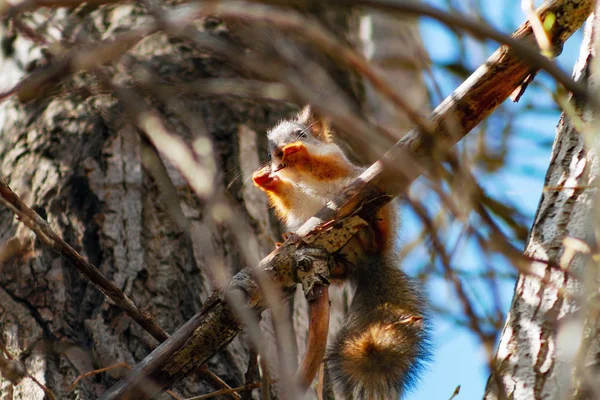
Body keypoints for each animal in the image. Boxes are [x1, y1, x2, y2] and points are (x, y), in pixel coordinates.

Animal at [251, 106, 428, 400]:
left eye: (302, 133)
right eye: (268, 151)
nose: (279, 152)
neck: (298, 176)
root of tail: (366, 264)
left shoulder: (338, 163)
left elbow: (324, 165)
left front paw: (298, 152)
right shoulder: (293, 201)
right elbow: (286, 197)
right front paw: (266, 179)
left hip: (380, 213)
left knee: (377, 235)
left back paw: (374, 230)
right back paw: (290, 243)